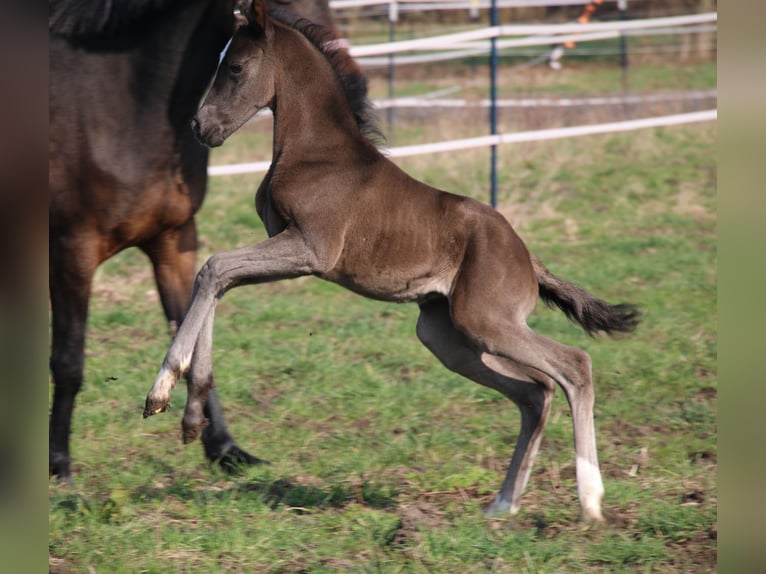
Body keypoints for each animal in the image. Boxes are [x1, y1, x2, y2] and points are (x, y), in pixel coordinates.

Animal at [48, 0, 336, 484]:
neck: (128, 107)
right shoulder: (73, 250)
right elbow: (68, 361)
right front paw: (59, 464)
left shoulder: (174, 241)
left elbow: (190, 326)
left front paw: (224, 448)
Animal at [144, 0, 640, 520]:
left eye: (236, 67)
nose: (201, 127)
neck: (318, 154)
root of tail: (526, 256)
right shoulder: (286, 246)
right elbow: (217, 279)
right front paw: (191, 416)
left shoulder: (309, 249)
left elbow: (213, 268)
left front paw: (160, 391)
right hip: (446, 335)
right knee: (534, 392)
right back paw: (503, 504)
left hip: (487, 321)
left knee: (574, 366)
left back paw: (590, 499)